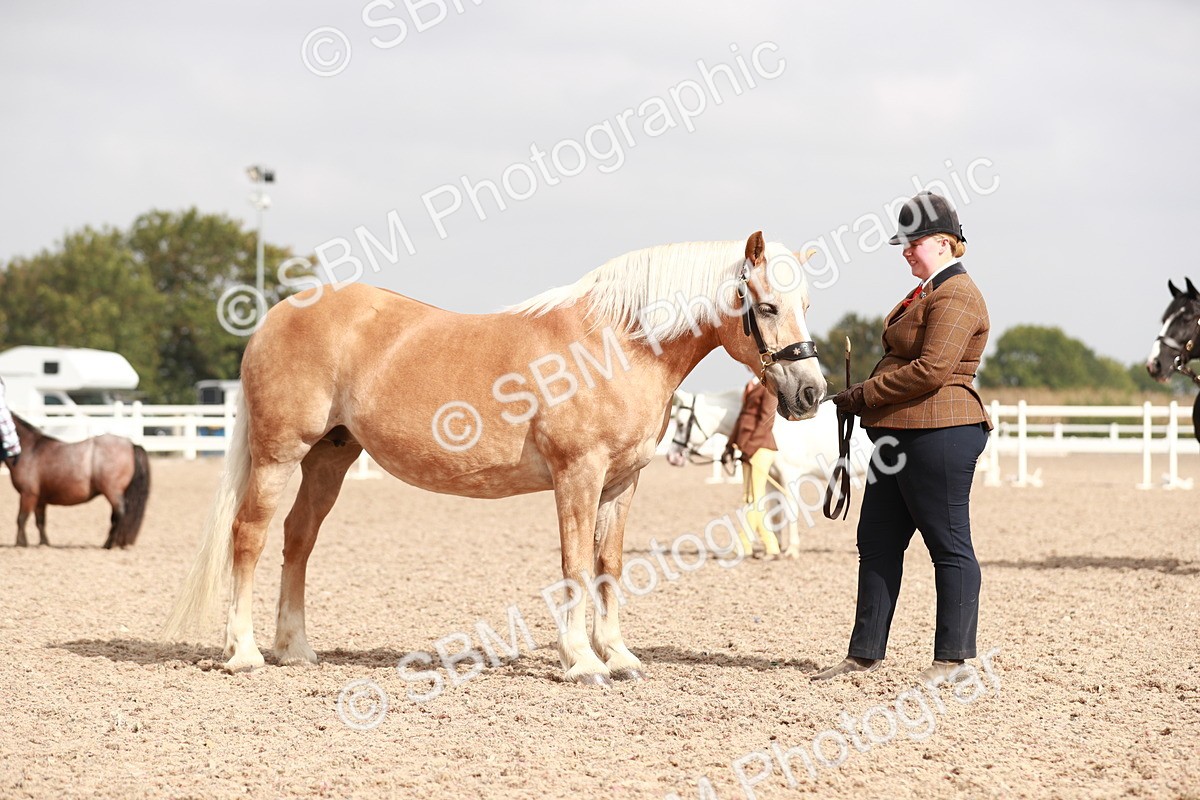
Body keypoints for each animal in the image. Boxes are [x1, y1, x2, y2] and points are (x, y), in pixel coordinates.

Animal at [7, 414, 151, 548]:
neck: (30, 450)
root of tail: (131, 444)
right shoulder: (40, 499)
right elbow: (40, 522)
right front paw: (44, 543)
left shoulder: (28, 494)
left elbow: (21, 518)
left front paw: (20, 543)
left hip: (112, 492)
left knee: (119, 514)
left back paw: (109, 544)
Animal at [164, 232, 827, 684]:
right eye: (767, 305)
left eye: (807, 304)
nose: (811, 393)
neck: (617, 344)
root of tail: (276, 317)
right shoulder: (578, 474)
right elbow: (574, 564)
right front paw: (581, 660)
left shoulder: (621, 481)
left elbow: (609, 564)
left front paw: (619, 656)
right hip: (279, 455)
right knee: (249, 536)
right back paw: (245, 652)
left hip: (330, 458)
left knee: (298, 540)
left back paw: (296, 648)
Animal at [666, 388, 871, 558]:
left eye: (681, 424)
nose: (672, 456)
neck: (772, 428)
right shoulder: (772, 477)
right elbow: (775, 513)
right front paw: (775, 548)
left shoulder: (790, 476)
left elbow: (790, 511)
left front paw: (792, 550)